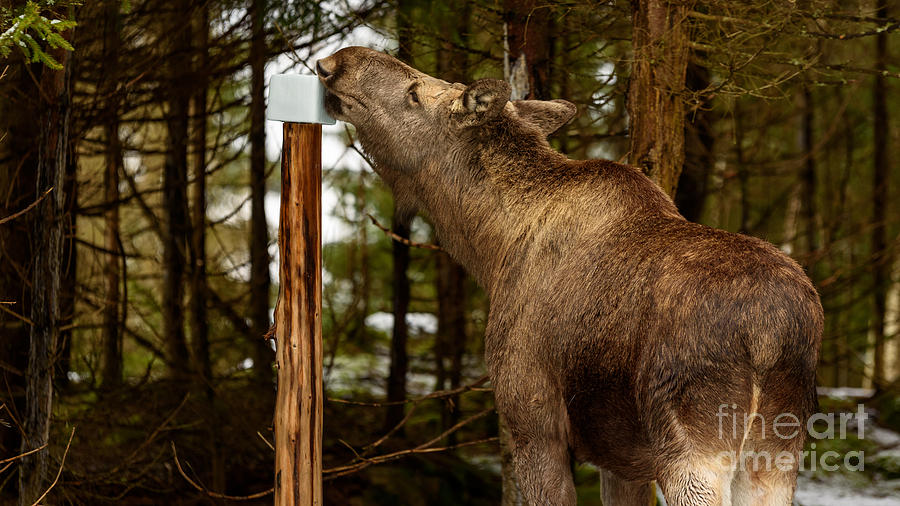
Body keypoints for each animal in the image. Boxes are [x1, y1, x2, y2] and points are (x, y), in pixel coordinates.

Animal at [316, 45, 824, 504]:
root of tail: (771, 335)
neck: (490, 250)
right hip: (776, 453)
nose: (335, 62)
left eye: (415, 93)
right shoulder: (622, 460)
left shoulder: (534, 425)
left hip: (692, 446)